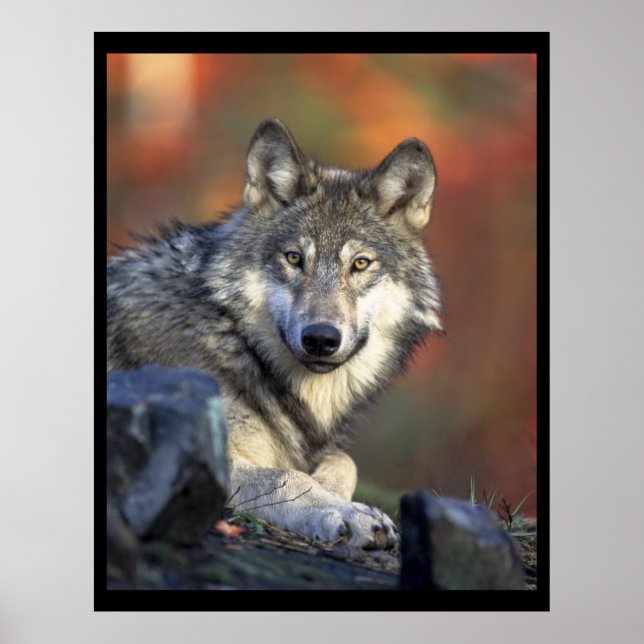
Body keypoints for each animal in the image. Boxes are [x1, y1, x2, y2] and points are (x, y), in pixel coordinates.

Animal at [107, 118, 443, 549]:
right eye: (294, 258)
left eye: (360, 264)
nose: (321, 338)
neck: (235, 340)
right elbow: (287, 476)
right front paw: (347, 513)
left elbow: (344, 461)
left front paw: (337, 493)